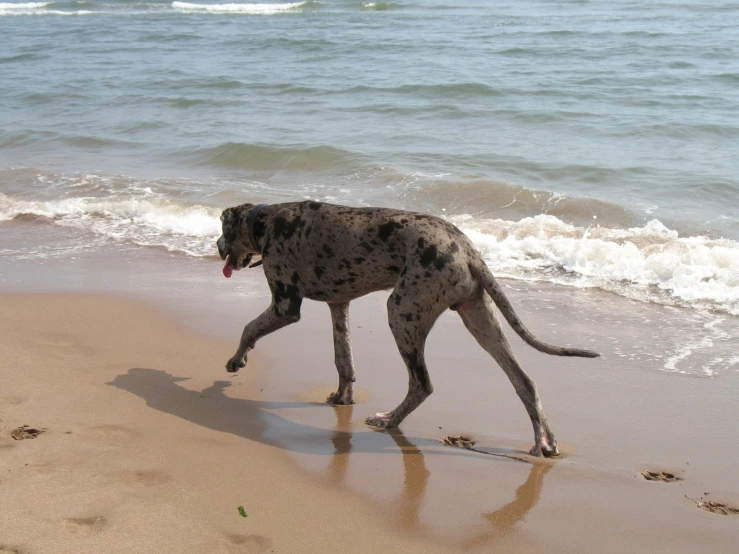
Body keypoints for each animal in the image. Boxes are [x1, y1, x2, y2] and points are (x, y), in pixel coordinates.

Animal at [217, 201, 600, 454]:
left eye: (222, 230)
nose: (217, 246)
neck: (265, 221)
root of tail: (468, 249)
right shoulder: (339, 305)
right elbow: (344, 360)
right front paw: (343, 397)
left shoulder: (285, 305)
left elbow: (249, 328)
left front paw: (236, 361)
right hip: (480, 320)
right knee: (524, 382)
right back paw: (544, 442)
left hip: (401, 312)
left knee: (422, 383)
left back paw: (389, 419)